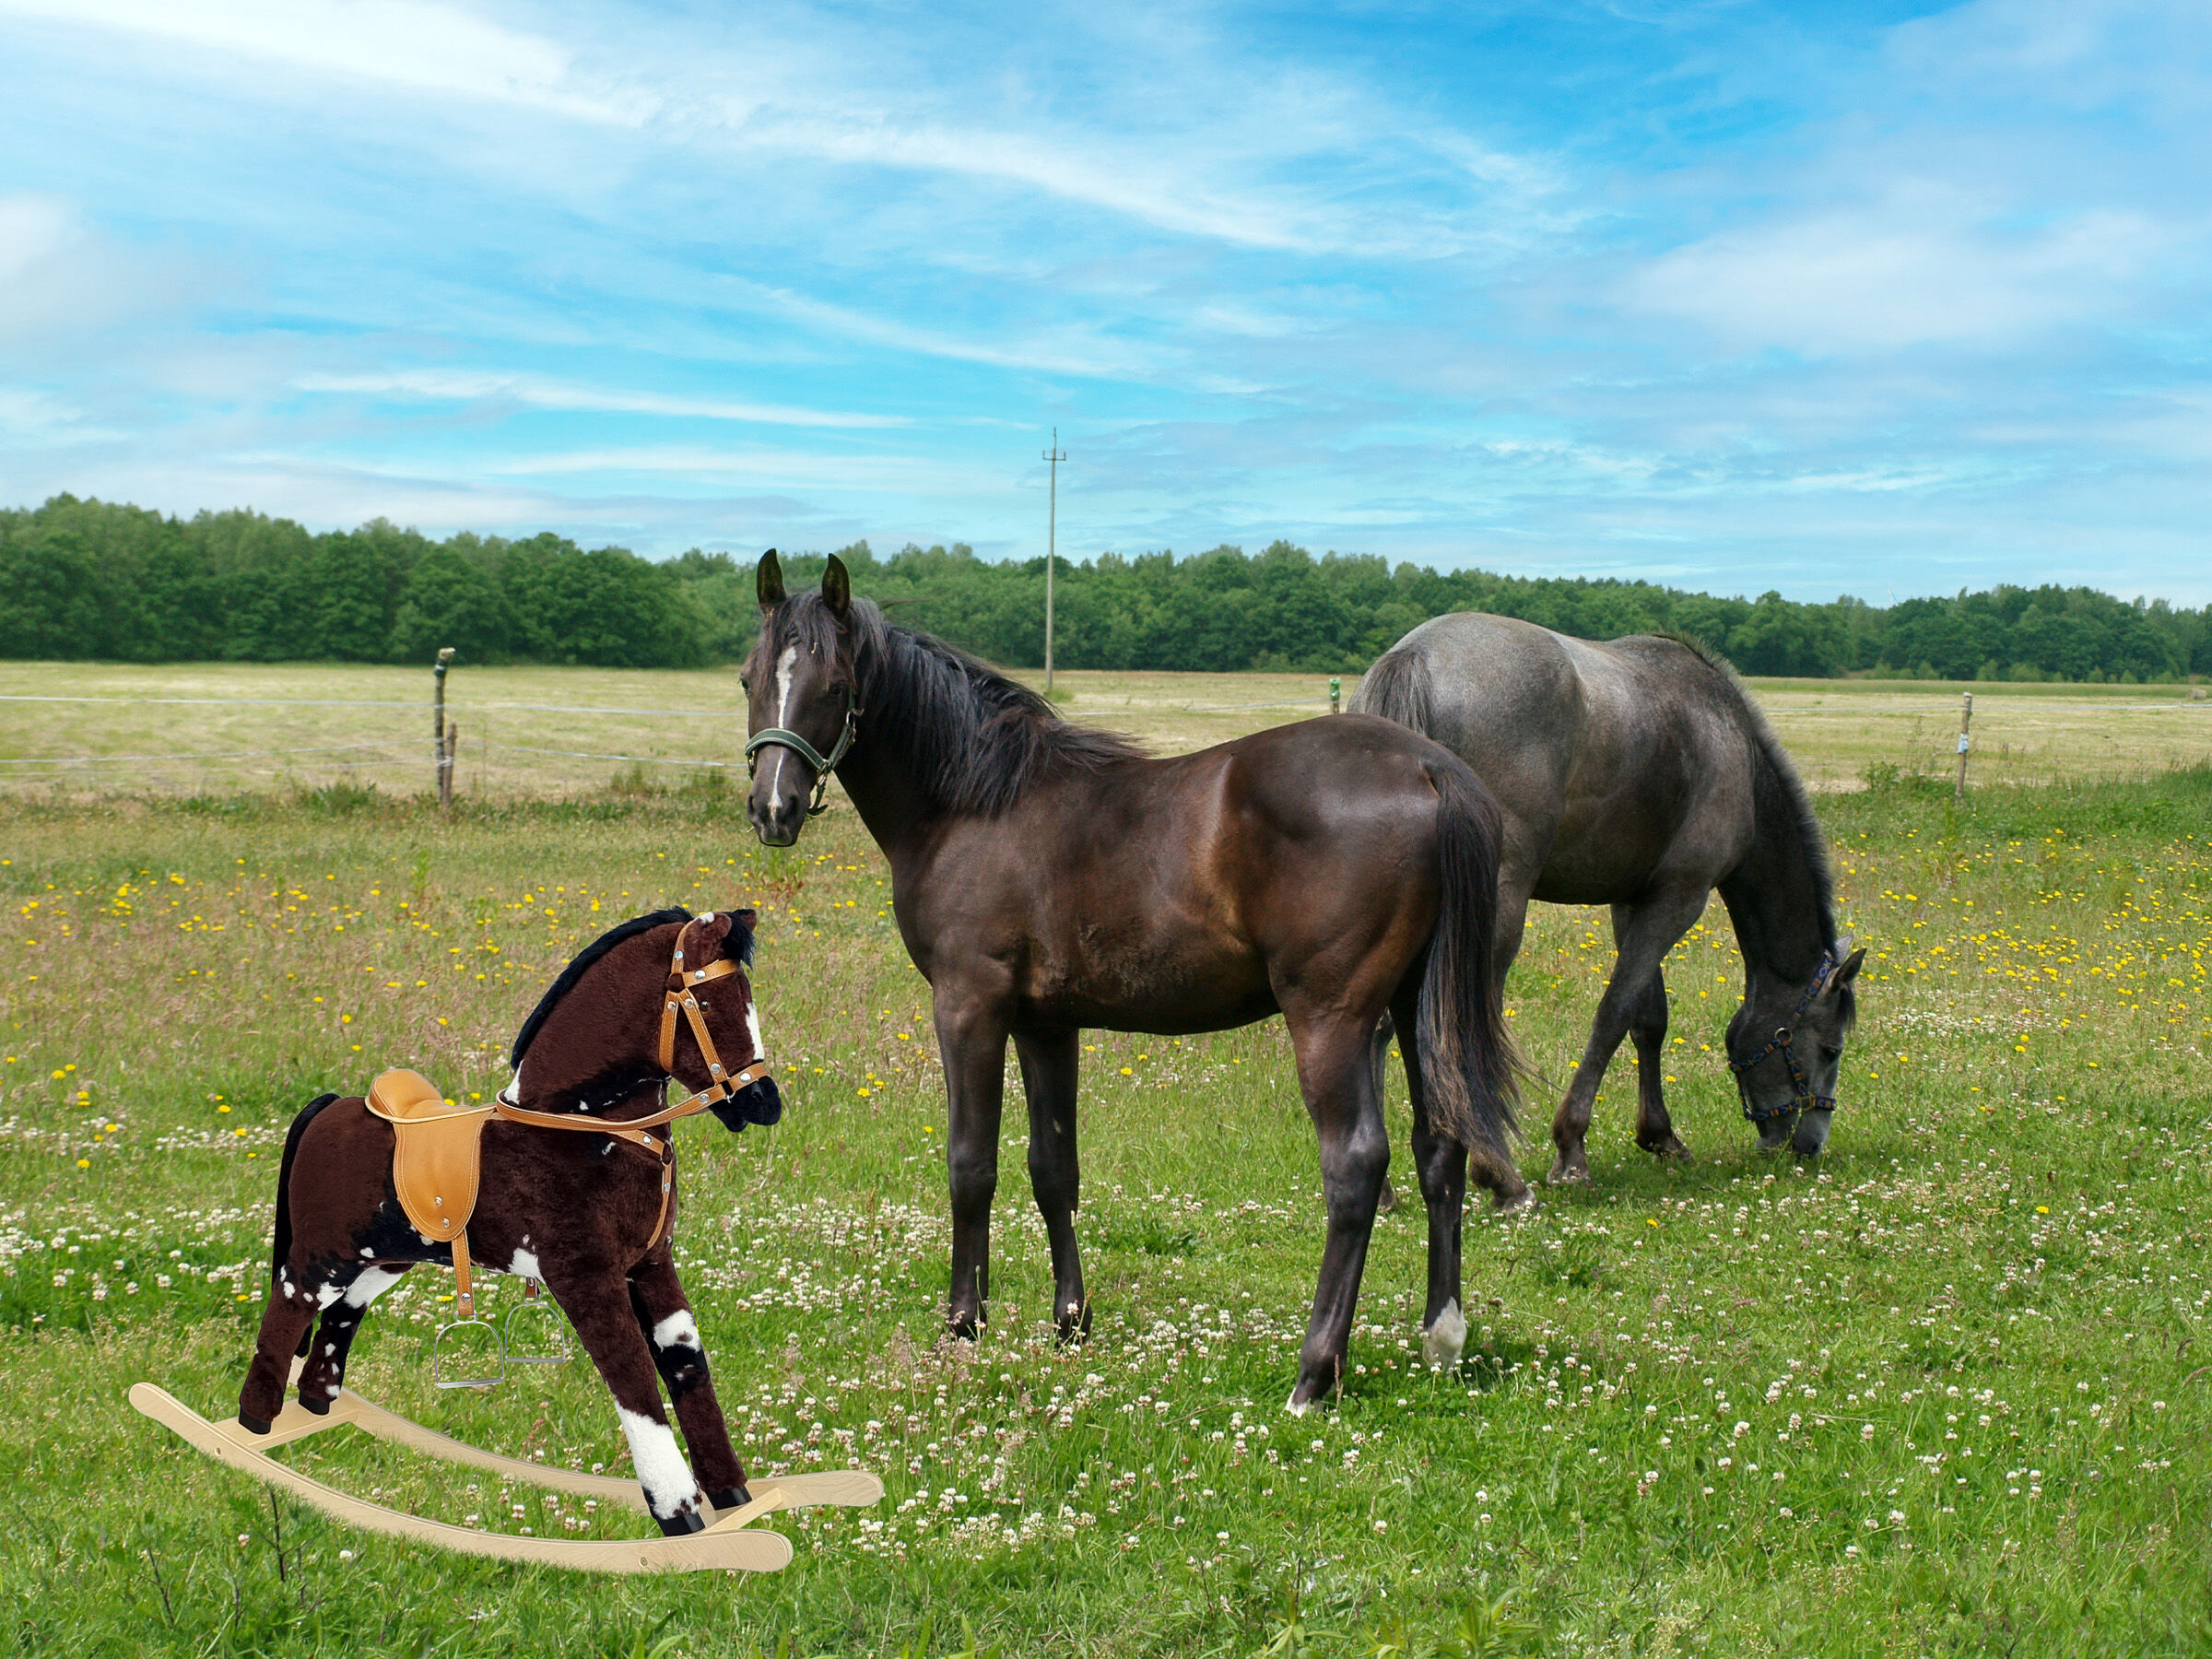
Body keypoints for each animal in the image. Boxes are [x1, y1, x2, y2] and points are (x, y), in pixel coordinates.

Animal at [238, 908, 785, 1535]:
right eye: (708, 1001)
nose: (764, 1105)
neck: (582, 1128)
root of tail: (327, 1107)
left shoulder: (651, 1265)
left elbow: (688, 1366)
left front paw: (732, 1495)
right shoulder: (584, 1276)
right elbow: (634, 1381)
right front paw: (679, 1516)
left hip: (386, 1258)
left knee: (341, 1315)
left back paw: (317, 1402)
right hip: (323, 1256)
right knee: (287, 1309)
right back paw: (254, 1424)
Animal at [740, 551, 1521, 1410]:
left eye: (835, 686)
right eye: (750, 678)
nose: (772, 809)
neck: (976, 805)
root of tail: (1429, 767)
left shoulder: (970, 1005)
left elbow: (970, 1165)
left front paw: (962, 1326)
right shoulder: (1045, 1022)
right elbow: (1053, 1169)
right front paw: (1070, 1323)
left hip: (1334, 1017)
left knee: (1355, 1167)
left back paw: (1314, 1375)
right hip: (1417, 1007)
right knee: (1439, 1146)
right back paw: (1442, 1338)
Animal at [1353, 613, 1865, 1182]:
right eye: (1831, 1050)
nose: (1808, 1144)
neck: (1737, 751)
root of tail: (1416, 657)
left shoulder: (1634, 901)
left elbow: (1649, 1019)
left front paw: (1661, 1135)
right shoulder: (1678, 900)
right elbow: (1614, 1013)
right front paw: (1571, 1148)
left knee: (1377, 1025)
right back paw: (1499, 1174)